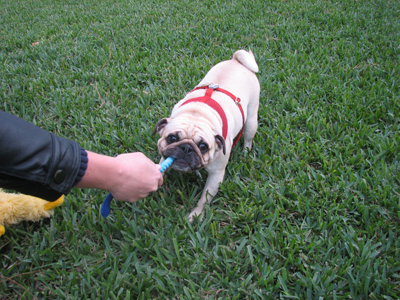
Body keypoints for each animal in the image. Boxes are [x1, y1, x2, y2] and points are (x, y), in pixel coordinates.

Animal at [152, 49, 260, 223]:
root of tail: (236, 60)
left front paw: (196, 215)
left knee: (248, 138)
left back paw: (245, 152)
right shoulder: (165, 156)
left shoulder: (216, 175)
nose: (186, 148)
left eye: (203, 146)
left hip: (251, 121)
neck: (197, 114)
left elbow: (204, 198)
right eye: (172, 138)